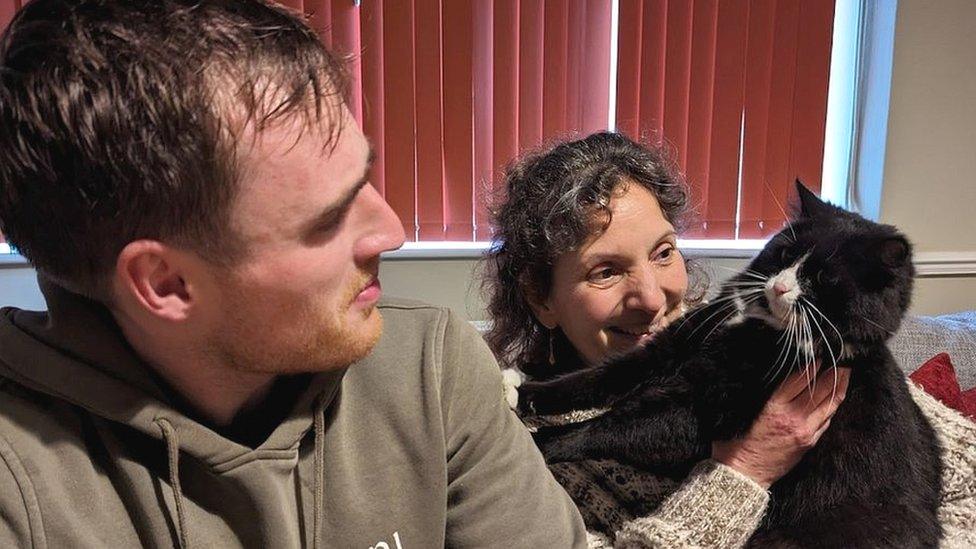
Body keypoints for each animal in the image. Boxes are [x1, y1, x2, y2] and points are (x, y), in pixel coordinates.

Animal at [516, 182, 940, 544]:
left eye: (822, 278)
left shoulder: (704, 408)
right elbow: (604, 375)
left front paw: (543, 440)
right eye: (785, 253)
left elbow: (615, 425)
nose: (779, 286)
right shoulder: (676, 342)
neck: (760, 324)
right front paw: (530, 394)